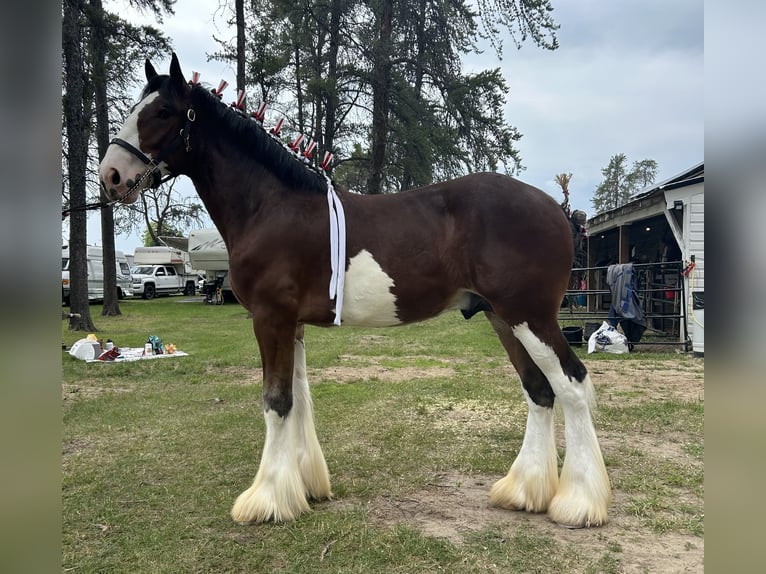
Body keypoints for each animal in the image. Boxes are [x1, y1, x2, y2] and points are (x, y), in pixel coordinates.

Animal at [97, 55, 612, 532]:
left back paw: (579, 503)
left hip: (530, 317)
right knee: (540, 391)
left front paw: (266, 500)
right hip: (503, 318)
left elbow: (276, 401)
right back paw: (524, 491)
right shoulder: (292, 324)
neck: (270, 206)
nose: (111, 175)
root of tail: (556, 207)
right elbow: (298, 399)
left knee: (572, 385)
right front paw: (303, 487)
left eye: (163, 111)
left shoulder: (270, 318)